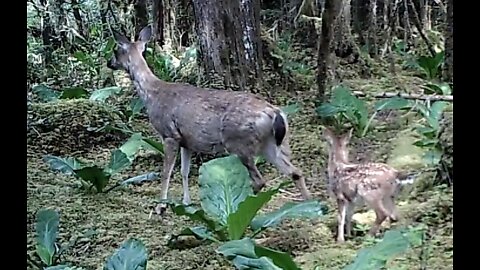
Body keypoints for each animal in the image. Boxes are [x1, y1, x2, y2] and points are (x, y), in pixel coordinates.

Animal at [106, 25, 312, 215]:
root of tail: (275, 113)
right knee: (296, 172)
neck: (152, 94)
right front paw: (186, 202)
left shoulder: (169, 134)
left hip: (239, 143)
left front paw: (161, 206)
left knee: (260, 180)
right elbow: (184, 171)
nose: (109, 63)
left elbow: (166, 172)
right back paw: (309, 206)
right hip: (274, 144)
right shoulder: (186, 141)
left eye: (115, 50)